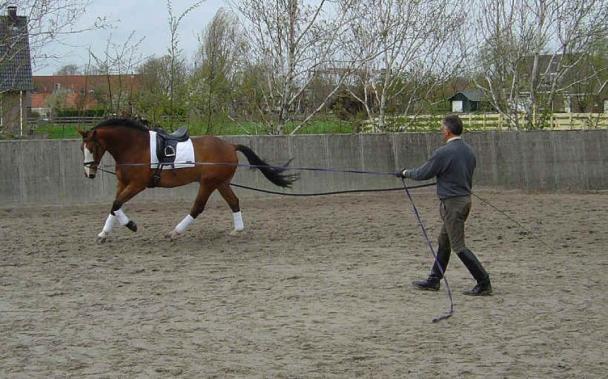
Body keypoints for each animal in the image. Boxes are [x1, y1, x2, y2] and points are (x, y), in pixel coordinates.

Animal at [78, 118, 296, 243]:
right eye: (82, 148)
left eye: (93, 147)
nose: (89, 174)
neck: (134, 147)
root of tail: (230, 146)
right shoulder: (122, 184)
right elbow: (114, 206)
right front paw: (104, 234)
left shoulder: (137, 185)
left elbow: (116, 204)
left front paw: (131, 225)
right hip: (221, 183)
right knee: (234, 202)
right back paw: (237, 230)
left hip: (208, 183)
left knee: (197, 207)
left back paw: (175, 232)